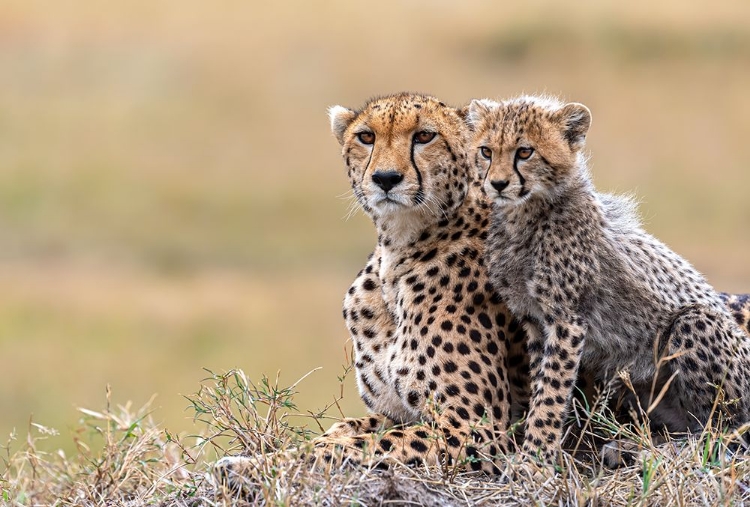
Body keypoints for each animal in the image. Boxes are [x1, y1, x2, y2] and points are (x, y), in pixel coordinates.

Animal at [472, 95, 750, 464]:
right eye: (486, 151)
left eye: (525, 152)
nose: (498, 184)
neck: (526, 216)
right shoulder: (533, 319)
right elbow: (540, 383)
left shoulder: (567, 320)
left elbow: (551, 392)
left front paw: (534, 459)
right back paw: (630, 447)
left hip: (696, 323)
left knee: (725, 431)